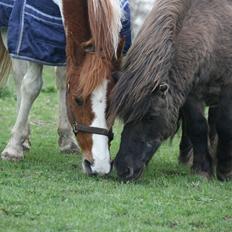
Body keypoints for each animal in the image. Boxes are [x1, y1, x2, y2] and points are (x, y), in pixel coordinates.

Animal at [109, 0, 232, 181]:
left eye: (151, 117)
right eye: (125, 117)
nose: (123, 169)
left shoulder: (227, 89)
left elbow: (225, 125)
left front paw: (225, 171)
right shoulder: (190, 95)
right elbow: (197, 127)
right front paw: (202, 170)